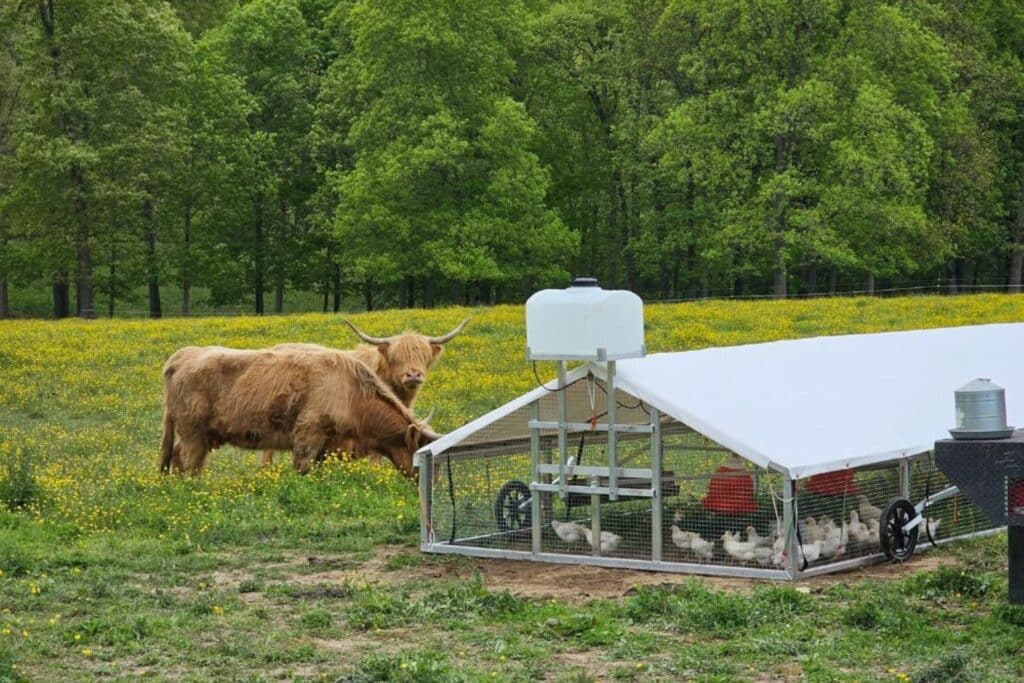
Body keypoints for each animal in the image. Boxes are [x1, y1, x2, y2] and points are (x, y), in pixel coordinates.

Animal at [157, 344, 438, 479]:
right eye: (421, 453)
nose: (434, 483)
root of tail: (184, 355)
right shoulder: (307, 434)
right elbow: (302, 467)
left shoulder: (330, 447)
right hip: (193, 433)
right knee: (186, 461)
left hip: (200, 436)